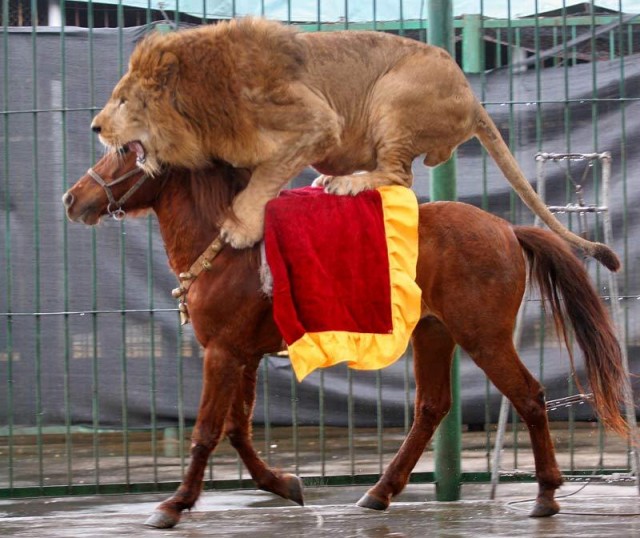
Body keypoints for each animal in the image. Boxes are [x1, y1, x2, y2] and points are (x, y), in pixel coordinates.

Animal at [62, 151, 628, 529]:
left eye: (122, 150)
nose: (73, 198)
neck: (228, 249)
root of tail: (508, 230)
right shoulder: (242, 355)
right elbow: (238, 430)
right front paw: (284, 484)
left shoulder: (221, 353)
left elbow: (206, 431)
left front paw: (174, 503)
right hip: (434, 333)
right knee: (431, 407)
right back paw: (379, 492)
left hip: (482, 335)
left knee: (528, 396)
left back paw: (546, 494)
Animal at [91, 17, 619, 271]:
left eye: (122, 100)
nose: (94, 127)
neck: (199, 105)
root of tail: (472, 96)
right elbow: (256, 176)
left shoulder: (318, 121)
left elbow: (263, 179)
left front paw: (240, 227)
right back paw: (333, 178)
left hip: (394, 93)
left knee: (401, 175)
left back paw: (346, 183)